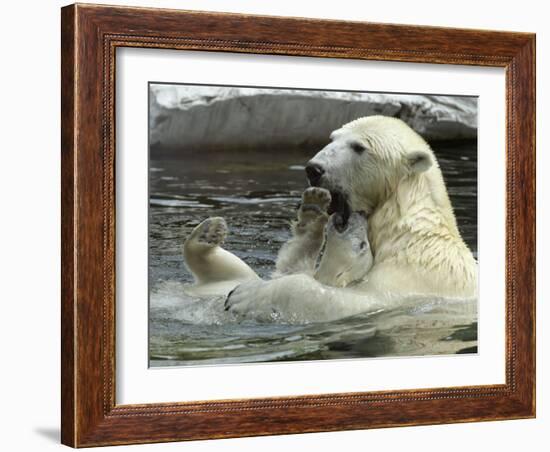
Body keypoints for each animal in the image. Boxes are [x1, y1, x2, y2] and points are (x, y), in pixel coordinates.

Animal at [207, 115, 478, 322]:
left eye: (358, 147)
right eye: (332, 138)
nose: (313, 169)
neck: (405, 230)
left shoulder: (411, 279)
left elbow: (347, 301)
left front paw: (244, 295)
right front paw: (312, 210)